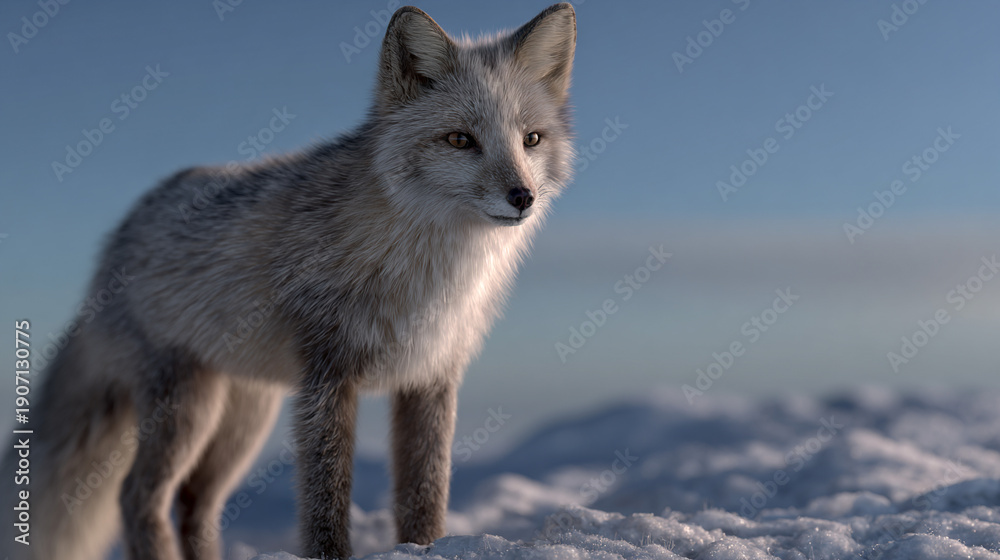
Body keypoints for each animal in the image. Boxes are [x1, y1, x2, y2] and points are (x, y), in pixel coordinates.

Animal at [1, 3, 576, 560]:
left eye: (531, 139)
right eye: (460, 140)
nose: (522, 197)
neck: (434, 276)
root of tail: (116, 239)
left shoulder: (432, 375)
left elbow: (425, 496)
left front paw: (426, 549)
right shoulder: (327, 377)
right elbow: (326, 499)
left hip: (244, 421)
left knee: (193, 504)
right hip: (188, 409)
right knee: (137, 498)